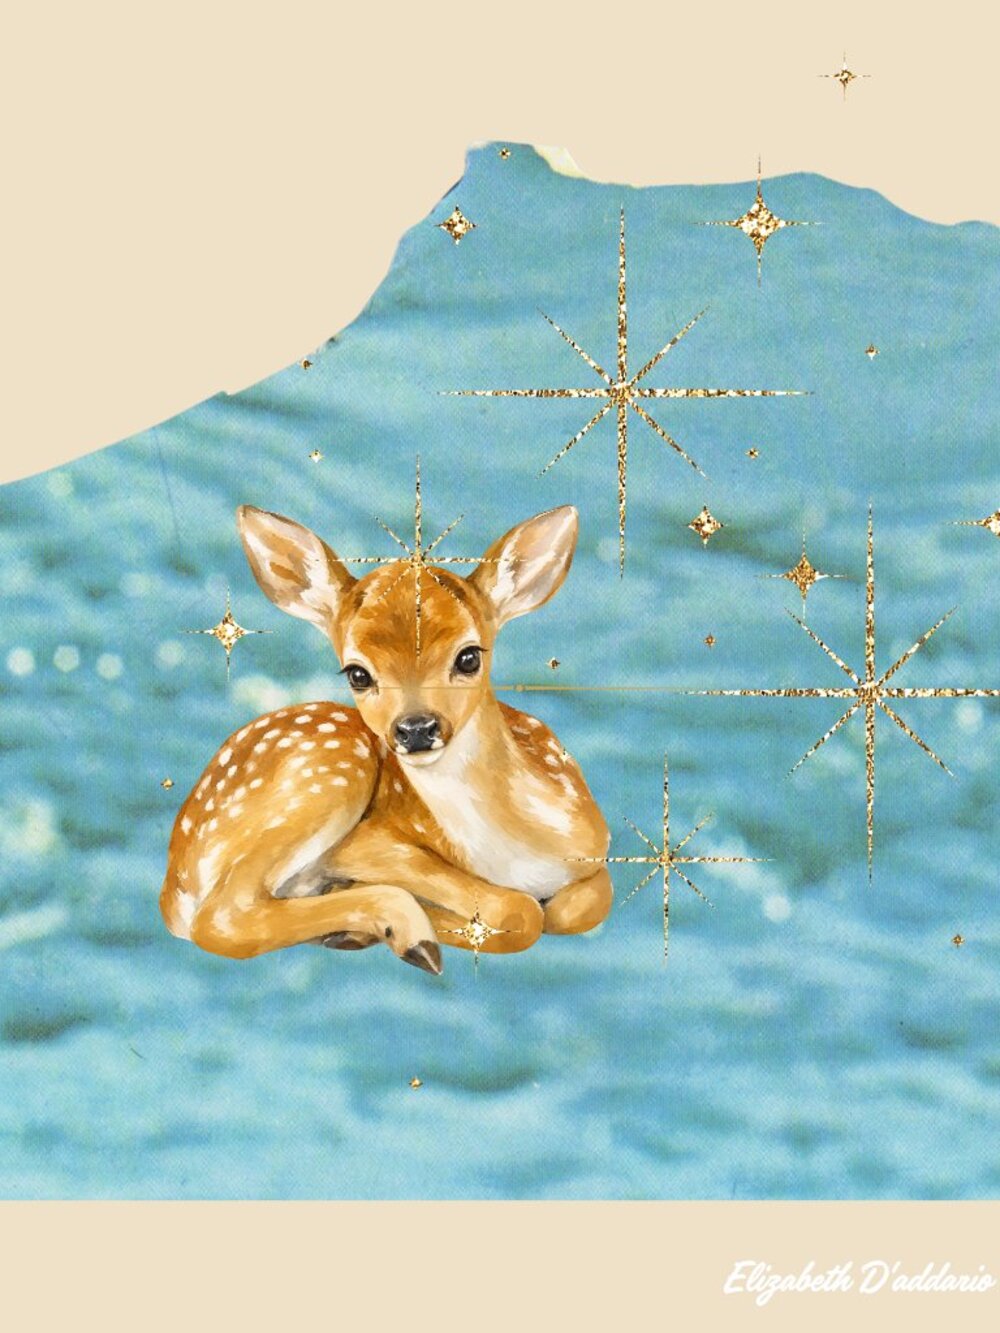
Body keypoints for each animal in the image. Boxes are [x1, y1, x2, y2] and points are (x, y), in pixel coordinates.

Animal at [159, 502, 612, 974]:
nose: (416, 729)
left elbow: (577, 907)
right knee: (221, 919)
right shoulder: (364, 843)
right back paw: (403, 934)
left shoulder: (596, 854)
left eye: (469, 657)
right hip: (331, 771)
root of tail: (175, 879)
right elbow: (520, 913)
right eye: (357, 673)